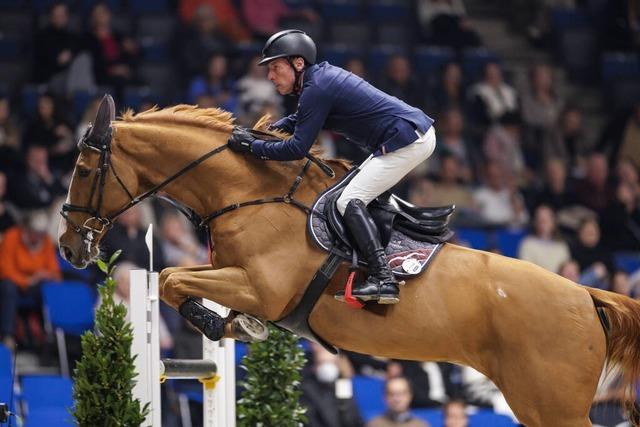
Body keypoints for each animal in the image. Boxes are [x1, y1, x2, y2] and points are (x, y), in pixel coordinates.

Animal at [58, 95, 640, 426]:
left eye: (84, 171)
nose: (68, 247)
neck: (248, 195)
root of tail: (585, 295)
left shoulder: (261, 286)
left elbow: (172, 278)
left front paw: (225, 323)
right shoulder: (234, 276)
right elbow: (173, 275)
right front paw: (234, 323)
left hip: (551, 403)